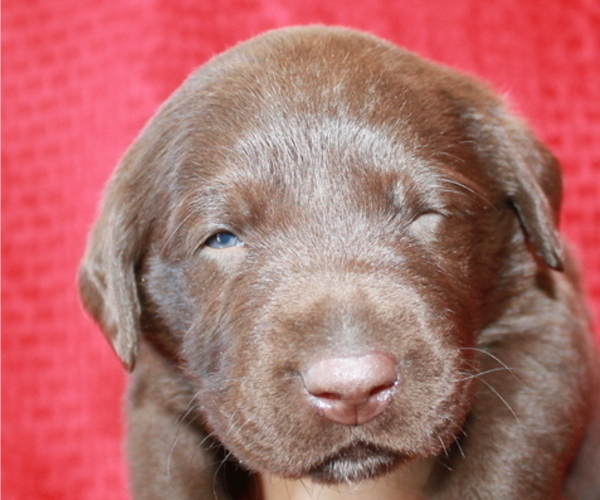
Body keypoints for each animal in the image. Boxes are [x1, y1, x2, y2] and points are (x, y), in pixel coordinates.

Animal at [81, 27, 600, 500]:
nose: (353, 389)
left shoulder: (543, 323)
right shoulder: (159, 401)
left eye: (426, 214)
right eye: (221, 239)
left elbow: (501, 467)